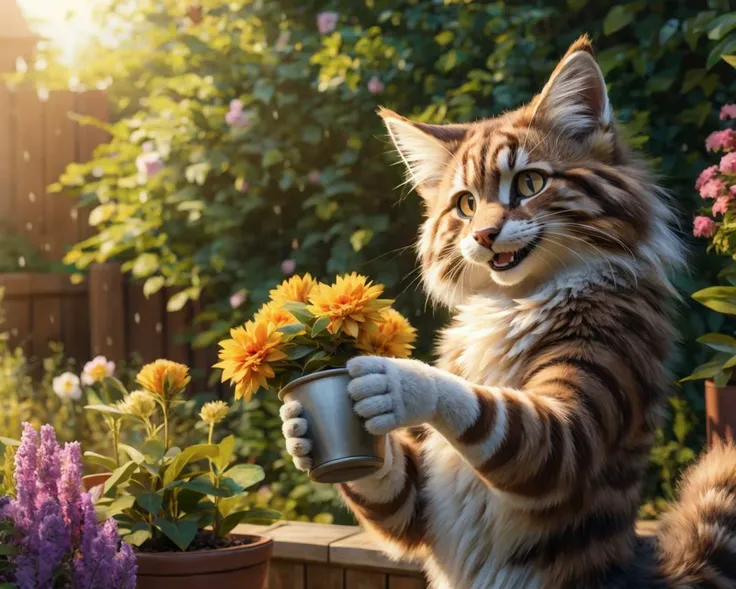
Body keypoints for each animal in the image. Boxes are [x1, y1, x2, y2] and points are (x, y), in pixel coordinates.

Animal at [278, 36, 732, 588]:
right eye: (466, 204)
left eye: (530, 183)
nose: (483, 235)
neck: (509, 302)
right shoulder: (423, 503)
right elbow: (394, 485)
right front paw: (299, 429)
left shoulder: (582, 407)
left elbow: (482, 407)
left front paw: (397, 382)